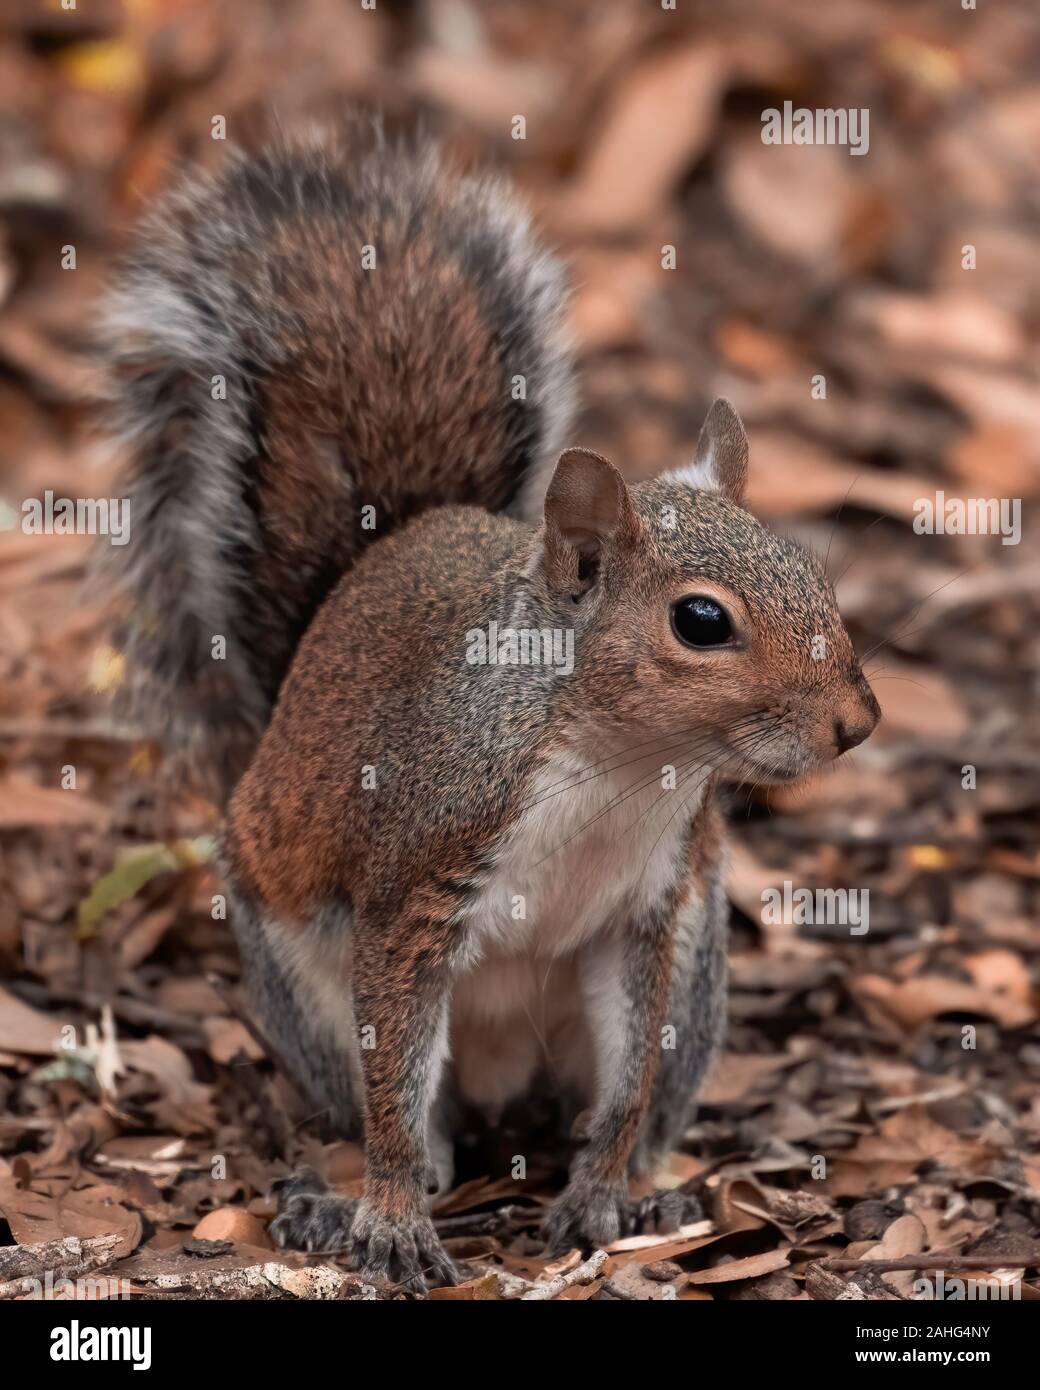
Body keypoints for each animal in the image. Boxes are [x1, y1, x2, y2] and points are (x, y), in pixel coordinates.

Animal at [101, 127, 884, 1289]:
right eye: (701, 620)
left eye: (813, 572)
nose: (854, 723)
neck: (617, 764)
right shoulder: (419, 873)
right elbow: (393, 1079)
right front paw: (388, 1218)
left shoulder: (652, 909)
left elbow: (627, 1073)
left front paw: (601, 1198)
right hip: (305, 986)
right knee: (404, 1110)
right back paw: (343, 1201)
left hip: (700, 974)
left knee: (631, 1093)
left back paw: (651, 1186)